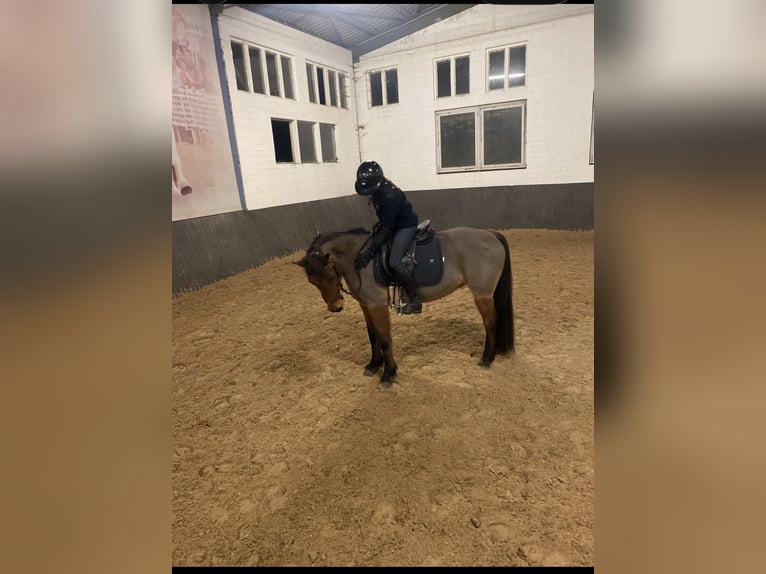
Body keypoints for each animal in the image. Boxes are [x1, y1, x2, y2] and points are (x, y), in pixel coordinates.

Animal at [294, 225, 515, 386]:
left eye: (330, 276)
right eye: (312, 282)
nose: (335, 307)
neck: (361, 259)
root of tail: (491, 234)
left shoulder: (377, 305)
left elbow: (384, 338)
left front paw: (388, 374)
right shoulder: (366, 305)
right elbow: (372, 335)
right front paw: (373, 365)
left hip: (482, 294)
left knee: (490, 323)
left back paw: (486, 358)